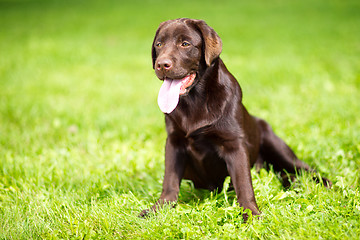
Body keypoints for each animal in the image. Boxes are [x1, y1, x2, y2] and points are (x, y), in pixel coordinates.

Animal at [140, 18, 330, 221]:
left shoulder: (234, 144)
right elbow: (170, 181)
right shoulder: (174, 142)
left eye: (185, 44)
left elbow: (243, 183)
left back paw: (322, 183)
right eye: (159, 44)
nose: (161, 65)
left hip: (276, 144)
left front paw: (251, 213)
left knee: (302, 167)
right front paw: (158, 209)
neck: (195, 100)